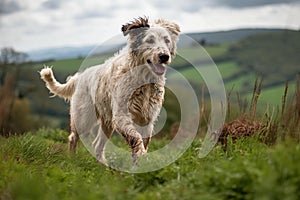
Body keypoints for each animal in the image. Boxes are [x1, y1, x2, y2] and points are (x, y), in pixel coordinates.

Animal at [39, 16, 180, 164]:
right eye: (150, 40)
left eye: (167, 40)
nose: (164, 56)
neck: (143, 81)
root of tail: (79, 77)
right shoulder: (121, 116)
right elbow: (136, 138)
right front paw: (141, 155)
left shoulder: (147, 119)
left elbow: (143, 141)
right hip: (83, 118)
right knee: (73, 138)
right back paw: (72, 160)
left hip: (107, 122)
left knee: (97, 145)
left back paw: (103, 165)